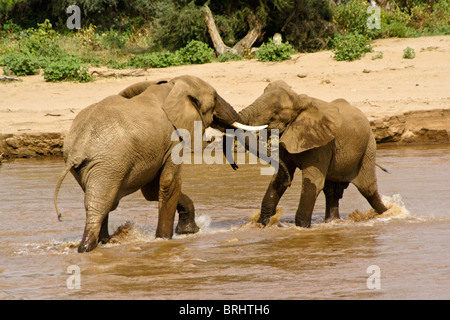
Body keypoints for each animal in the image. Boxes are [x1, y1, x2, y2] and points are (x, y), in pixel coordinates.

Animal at [53, 75, 264, 252]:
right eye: (214, 98)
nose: (235, 166)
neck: (172, 86)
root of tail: (78, 149)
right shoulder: (174, 139)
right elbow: (168, 182)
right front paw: (164, 239)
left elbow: (152, 190)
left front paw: (189, 232)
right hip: (107, 164)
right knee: (100, 203)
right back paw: (87, 248)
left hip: (88, 167)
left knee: (101, 201)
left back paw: (104, 243)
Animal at [230, 81, 388, 229]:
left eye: (276, 111)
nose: (289, 182)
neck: (300, 101)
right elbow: (278, 179)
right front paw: (263, 224)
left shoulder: (321, 144)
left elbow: (313, 182)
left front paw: (301, 228)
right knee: (331, 191)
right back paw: (332, 221)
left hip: (369, 147)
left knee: (368, 190)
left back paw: (387, 213)